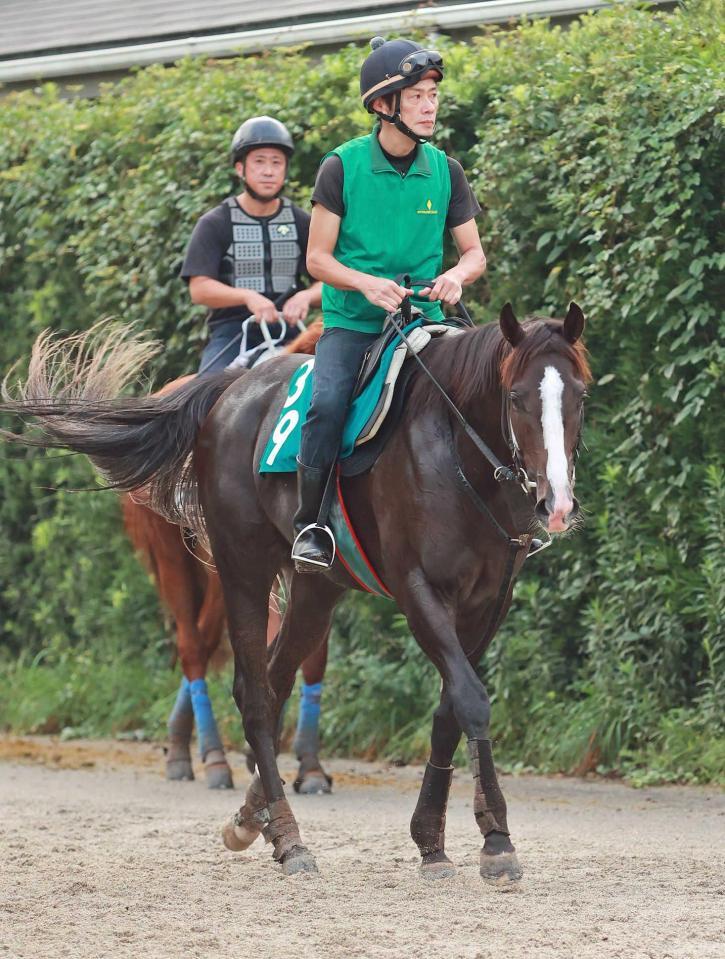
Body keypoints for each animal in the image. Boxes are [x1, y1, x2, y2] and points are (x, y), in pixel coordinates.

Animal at [1, 306, 588, 884]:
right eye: (516, 397)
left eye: (580, 395)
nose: (556, 504)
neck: (454, 450)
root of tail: (232, 391)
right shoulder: (417, 589)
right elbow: (470, 698)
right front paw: (496, 840)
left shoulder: (488, 602)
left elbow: (449, 708)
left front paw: (433, 840)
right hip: (239, 571)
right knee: (252, 693)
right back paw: (286, 836)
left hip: (314, 589)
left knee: (277, 678)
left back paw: (250, 814)